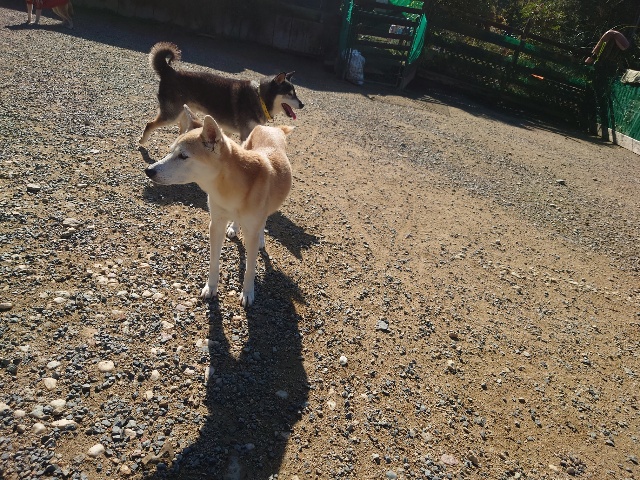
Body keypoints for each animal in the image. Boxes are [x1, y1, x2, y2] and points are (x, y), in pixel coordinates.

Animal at [140, 42, 304, 145]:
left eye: (295, 93)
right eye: (290, 93)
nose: (302, 105)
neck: (260, 98)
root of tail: (169, 71)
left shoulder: (228, 130)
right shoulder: (245, 134)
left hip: (184, 112)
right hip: (171, 115)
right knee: (149, 124)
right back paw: (142, 141)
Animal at [145, 106, 294, 307]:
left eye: (183, 156)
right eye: (169, 152)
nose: (149, 170)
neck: (229, 190)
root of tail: (271, 128)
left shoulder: (250, 234)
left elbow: (250, 268)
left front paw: (248, 293)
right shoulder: (215, 224)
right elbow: (214, 262)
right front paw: (211, 288)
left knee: (263, 222)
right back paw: (234, 228)